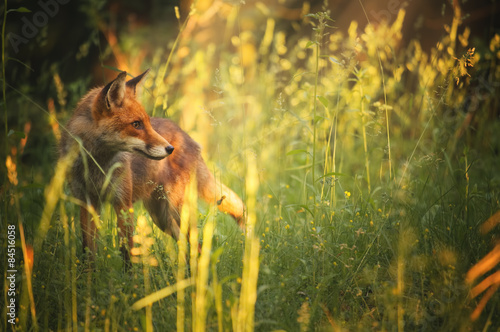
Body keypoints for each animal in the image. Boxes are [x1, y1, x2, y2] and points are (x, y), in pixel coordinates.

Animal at [59, 68, 245, 258]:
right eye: (136, 124)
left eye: (147, 122)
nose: (170, 148)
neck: (96, 165)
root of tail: (186, 136)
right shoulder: (86, 202)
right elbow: (88, 252)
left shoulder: (124, 203)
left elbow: (127, 252)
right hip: (162, 218)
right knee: (185, 248)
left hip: (177, 211)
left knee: (197, 247)